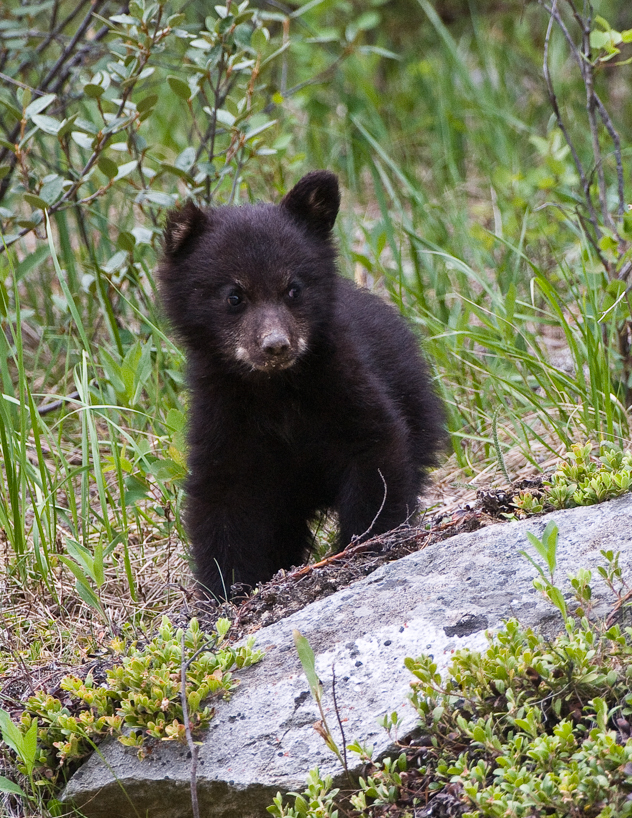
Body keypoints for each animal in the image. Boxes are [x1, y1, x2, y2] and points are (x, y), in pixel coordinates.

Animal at [157, 171, 445, 599]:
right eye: (234, 295)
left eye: (293, 288)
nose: (276, 345)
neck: (275, 391)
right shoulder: (224, 415)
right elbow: (222, 496)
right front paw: (226, 588)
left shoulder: (345, 386)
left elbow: (376, 454)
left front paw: (368, 542)